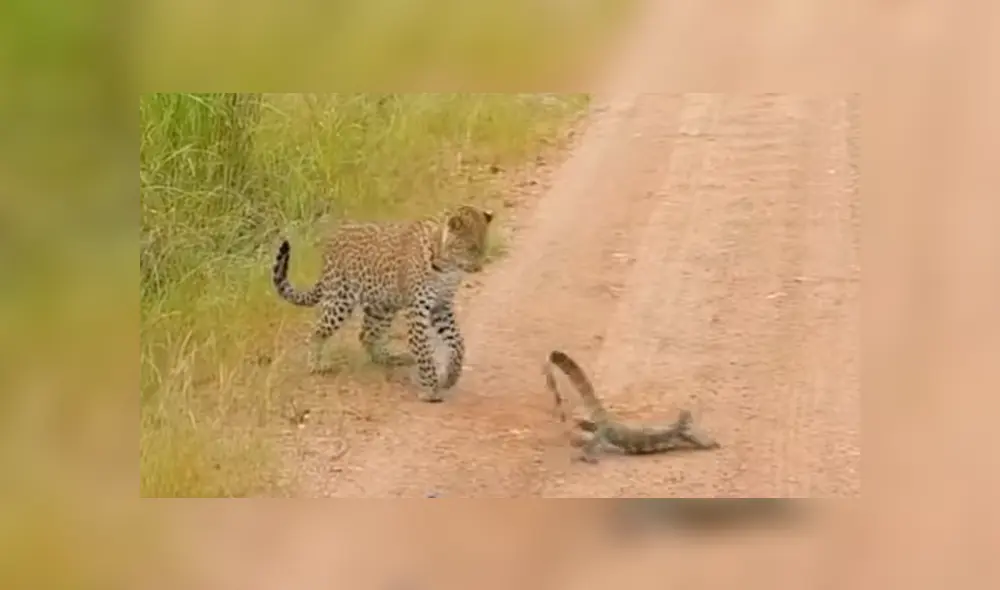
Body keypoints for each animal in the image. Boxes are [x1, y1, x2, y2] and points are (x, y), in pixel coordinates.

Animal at [272, 204, 494, 402]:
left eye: (483, 248)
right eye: (471, 248)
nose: (479, 267)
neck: (447, 267)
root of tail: (333, 240)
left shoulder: (441, 307)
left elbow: (458, 342)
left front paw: (450, 377)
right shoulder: (417, 310)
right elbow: (424, 351)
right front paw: (431, 390)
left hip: (383, 305)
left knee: (366, 334)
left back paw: (390, 358)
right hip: (340, 300)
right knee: (318, 330)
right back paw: (316, 364)